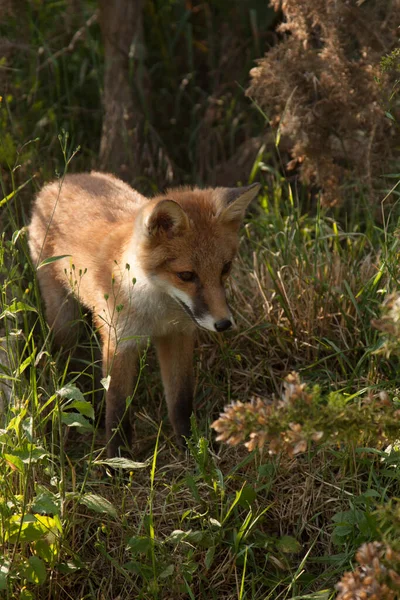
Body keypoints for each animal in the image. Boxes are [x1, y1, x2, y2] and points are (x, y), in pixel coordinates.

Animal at [28, 172, 260, 454]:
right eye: (186, 275)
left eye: (225, 268)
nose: (224, 323)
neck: (157, 312)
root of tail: (63, 179)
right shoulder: (119, 343)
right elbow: (117, 410)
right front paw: (117, 459)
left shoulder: (177, 335)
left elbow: (181, 401)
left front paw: (191, 447)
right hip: (65, 320)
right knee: (67, 361)